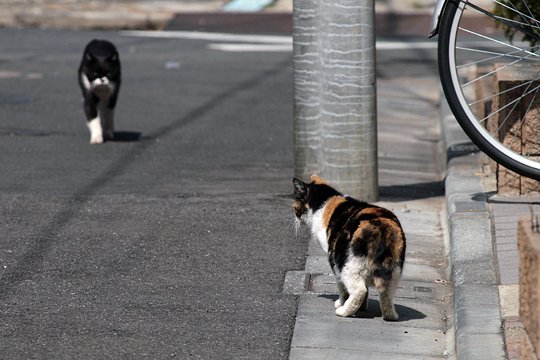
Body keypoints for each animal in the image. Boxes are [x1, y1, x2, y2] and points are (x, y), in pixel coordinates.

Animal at [296, 175, 404, 320]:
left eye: (296, 204)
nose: (296, 216)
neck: (323, 202)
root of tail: (380, 227)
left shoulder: (333, 259)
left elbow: (342, 287)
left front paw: (341, 303)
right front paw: (363, 308)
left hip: (346, 264)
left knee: (359, 290)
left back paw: (343, 311)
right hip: (394, 271)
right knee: (386, 293)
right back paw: (390, 315)